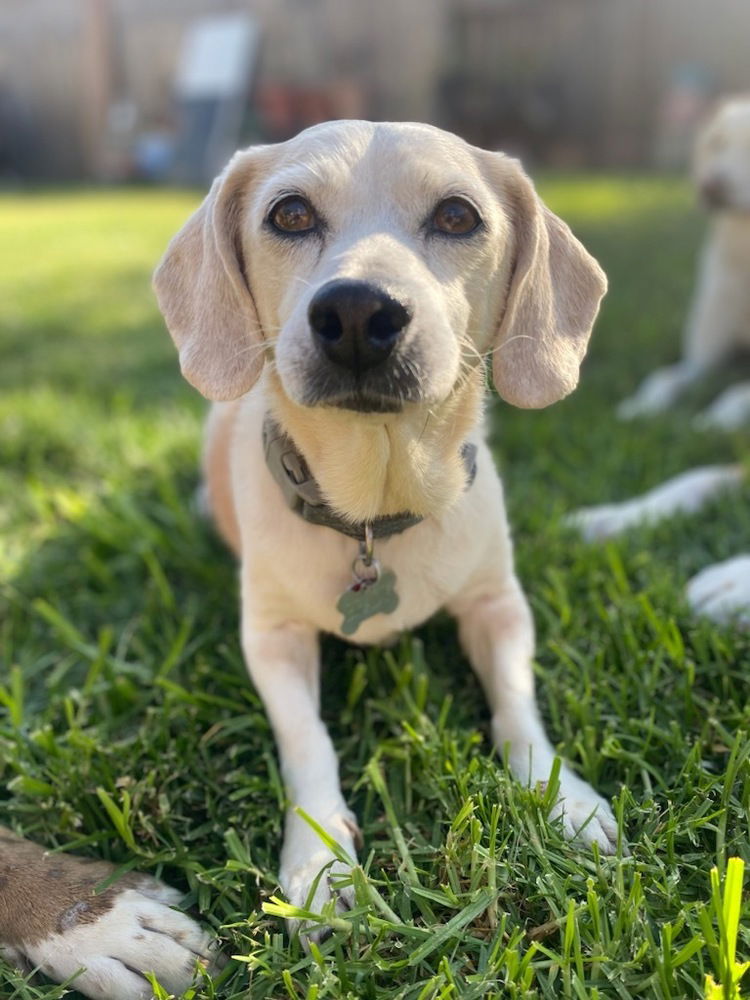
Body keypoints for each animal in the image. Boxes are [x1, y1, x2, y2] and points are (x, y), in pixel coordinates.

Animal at [0, 117, 612, 992]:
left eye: (458, 216)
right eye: (289, 214)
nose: (357, 310)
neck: (373, 511)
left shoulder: (500, 607)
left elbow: (519, 706)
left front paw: (564, 799)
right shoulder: (272, 638)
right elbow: (306, 740)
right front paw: (320, 861)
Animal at [620, 98, 750, 430]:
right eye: (718, 143)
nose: (710, 186)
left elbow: (740, 391)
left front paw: (719, 417)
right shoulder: (702, 360)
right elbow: (665, 376)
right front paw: (643, 406)